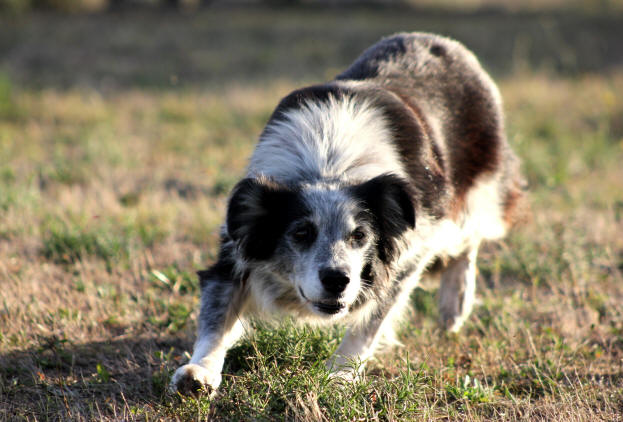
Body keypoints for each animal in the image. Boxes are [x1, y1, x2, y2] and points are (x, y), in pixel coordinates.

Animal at [168, 32, 524, 396]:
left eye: (360, 236)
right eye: (300, 234)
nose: (338, 280)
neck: (328, 165)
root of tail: (442, 41)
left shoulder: (414, 245)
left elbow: (371, 320)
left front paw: (340, 374)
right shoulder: (238, 243)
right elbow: (217, 317)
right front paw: (199, 372)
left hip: (479, 187)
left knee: (470, 236)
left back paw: (455, 303)